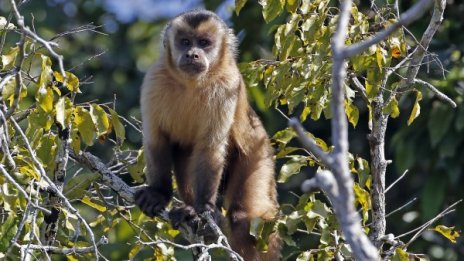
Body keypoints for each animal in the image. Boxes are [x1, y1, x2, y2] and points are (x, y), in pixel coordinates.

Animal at [134, 9, 280, 258]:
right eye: (185, 42)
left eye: (204, 43)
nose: (192, 54)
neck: (191, 83)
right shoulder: (153, 79)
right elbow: (156, 139)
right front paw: (159, 194)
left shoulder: (228, 83)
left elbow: (210, 148)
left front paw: (205, 211)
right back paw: (190, 214)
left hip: (260, 154)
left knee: (242, 217)